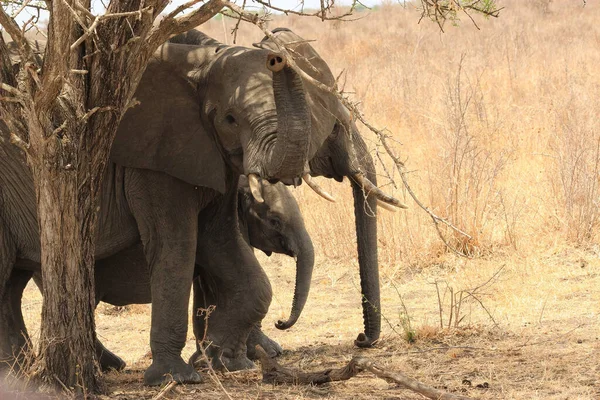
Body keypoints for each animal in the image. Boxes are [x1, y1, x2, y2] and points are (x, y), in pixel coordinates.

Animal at [1, 29, 404, 386]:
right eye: (229, 119)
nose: (361, 341)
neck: (207, 57)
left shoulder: (213, 159)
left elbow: (223, 246)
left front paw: (227, 362)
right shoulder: (153, 160)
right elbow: (178, 249)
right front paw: (179, 377)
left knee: (13, 285)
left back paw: (19, 370)